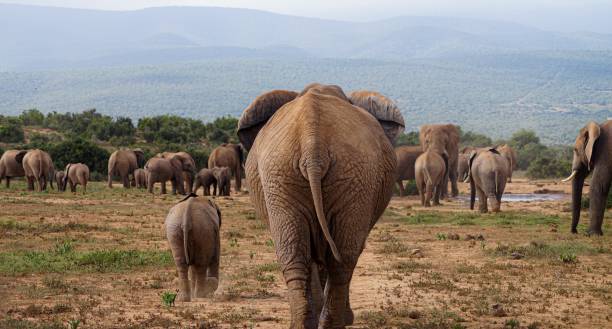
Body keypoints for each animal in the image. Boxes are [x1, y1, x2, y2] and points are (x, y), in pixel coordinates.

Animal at [237, 83, 404, 326]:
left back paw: (310, 323)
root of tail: (312, 144)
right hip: (295, 173)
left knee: (310, 256)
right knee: (335, 258)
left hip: (337, 174)